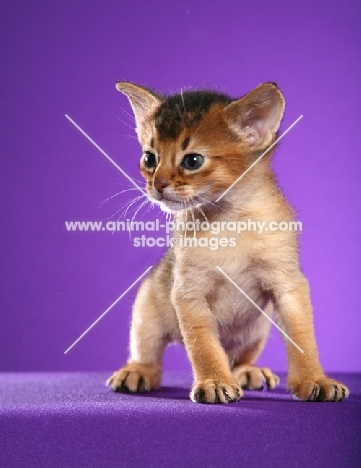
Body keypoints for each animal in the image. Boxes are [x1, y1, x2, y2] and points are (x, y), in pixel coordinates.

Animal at [105, 81, 348, 402]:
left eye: (193, 161)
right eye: (149, 158)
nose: (157, 185)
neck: (229, 222)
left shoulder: (289, 285)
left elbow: (302, 338)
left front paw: (314, 379)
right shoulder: (188, 292)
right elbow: (204, 345)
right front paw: (214, 381)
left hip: (258, 327)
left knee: (239, 357)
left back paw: (247, 371)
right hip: (147, 305)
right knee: (148, 352)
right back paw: (138, 371)